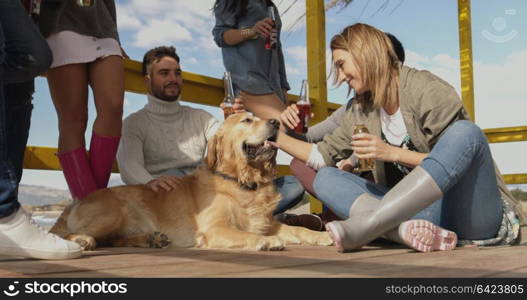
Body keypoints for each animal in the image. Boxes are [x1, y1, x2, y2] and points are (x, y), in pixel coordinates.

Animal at [50, 112, 330, 251]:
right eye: (247, 120)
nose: (276, 122)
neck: (242, 181)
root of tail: (75, 202)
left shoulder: (267, 222)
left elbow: (297, 230)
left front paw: (320, 235)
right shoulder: (214, 228)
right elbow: (244, 233)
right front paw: (268, 242)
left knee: (111, 240)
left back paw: (150, 239)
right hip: (113, 211)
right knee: (67, 234)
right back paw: (82, 240)